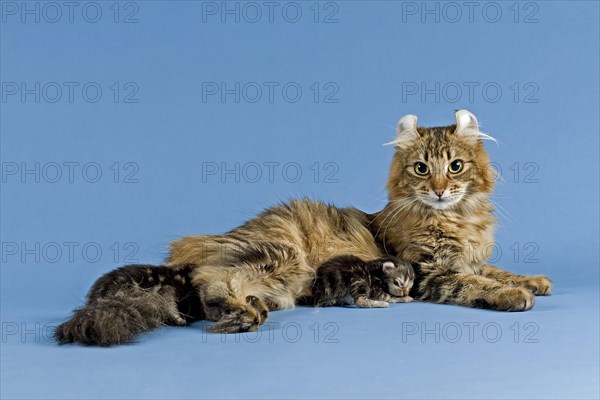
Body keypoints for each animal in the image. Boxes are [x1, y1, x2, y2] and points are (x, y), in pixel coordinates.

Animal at [56, 109, 552, 344]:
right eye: (420, 169)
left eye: (455, 166)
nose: (439, 190)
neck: (455, 218)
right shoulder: (428, 269)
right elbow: (473, 283)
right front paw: (513, 295)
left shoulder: (468, 257)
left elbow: (494, 269)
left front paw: (534, 281)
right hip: (280, 254)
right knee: (210, 279)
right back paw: (241, 313)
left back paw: (250, 308)